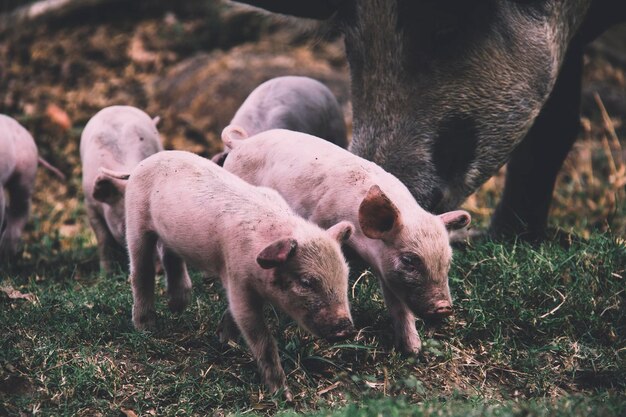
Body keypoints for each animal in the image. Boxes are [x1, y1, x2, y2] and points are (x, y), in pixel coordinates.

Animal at [79, 105, 162, 272]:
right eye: (126, 227)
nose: (159, 269)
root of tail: (118, 106)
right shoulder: (90, 204)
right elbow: (103, 239)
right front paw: (105, 273)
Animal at [124, 150, 354, 396]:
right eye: (306, 282)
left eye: (345, 276)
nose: (345, 329)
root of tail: (154, 157)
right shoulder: (237, 277)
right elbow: (258, 335)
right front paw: (283, 394)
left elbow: (232, 316)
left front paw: (225, 340)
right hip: (135, 220)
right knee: (141, 271)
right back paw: (146, 327)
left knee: (170, 257)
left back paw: (178, 306)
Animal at [219, 125, 468, 352]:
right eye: (409, 260)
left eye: (448, 261)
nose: (444, 307)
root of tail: (240, 144)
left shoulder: (384, 267)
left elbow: (397, 304)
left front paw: (413, 350)